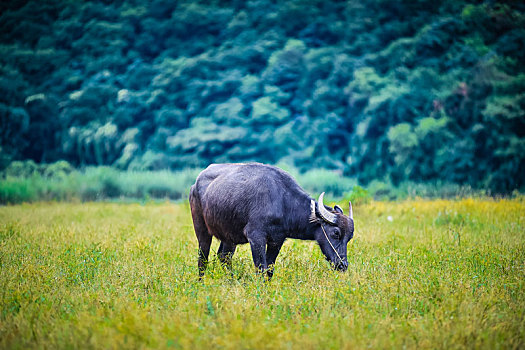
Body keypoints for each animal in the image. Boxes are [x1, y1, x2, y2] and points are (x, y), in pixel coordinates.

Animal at [186, 163, 354, 280]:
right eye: (336, 233)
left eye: (349, 238)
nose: (342, 265)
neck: (283, 202)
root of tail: (195, 184)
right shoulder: (256, 237)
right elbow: (260, 268)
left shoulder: (276, 241)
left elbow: (269, 269)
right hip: (201, 229)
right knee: (203, 258)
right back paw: (201, 282)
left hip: (229, 236)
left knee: (224, 257)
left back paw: (231, 281)